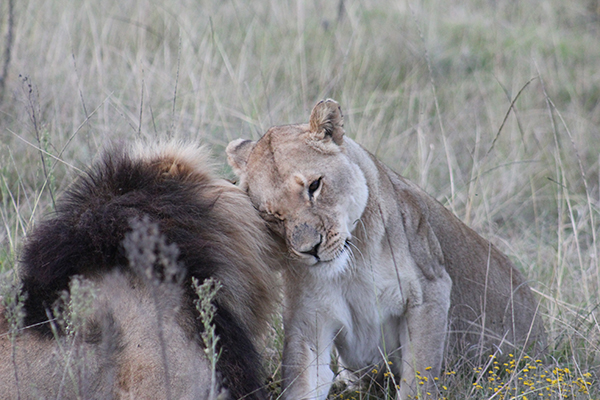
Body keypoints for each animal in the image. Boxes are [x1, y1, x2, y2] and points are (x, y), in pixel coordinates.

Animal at [225, 98, 544, 398]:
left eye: (314, 186)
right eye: (269, 215)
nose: (310, 249)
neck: (350, 269)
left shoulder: (430, 291)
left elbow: (418, 383)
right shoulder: (308, 323)